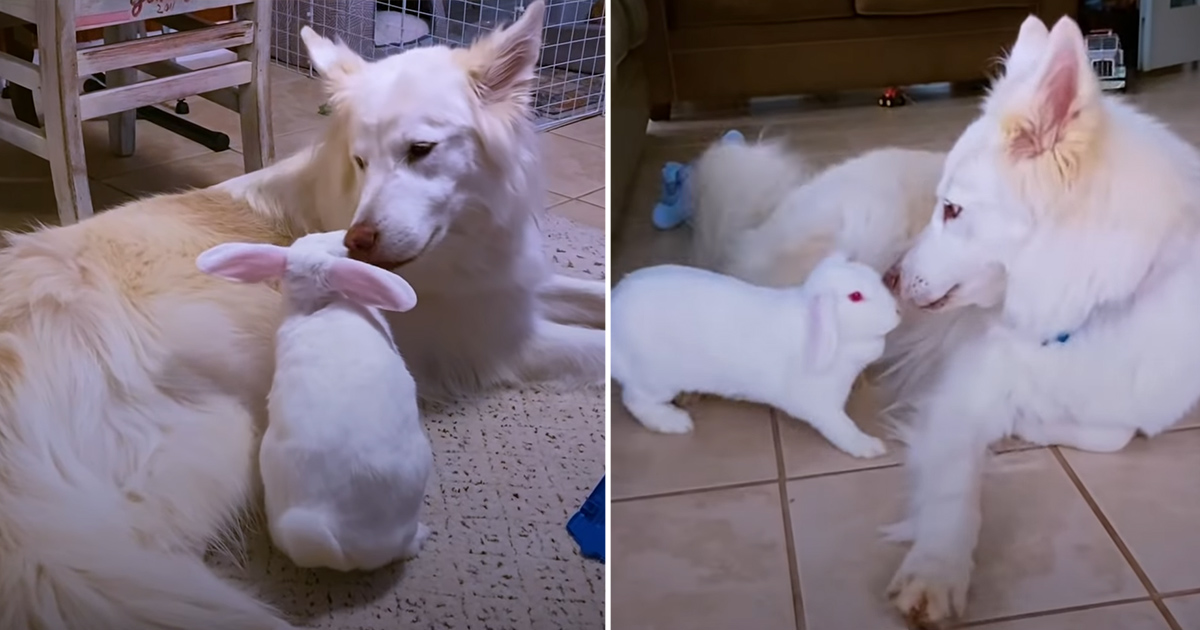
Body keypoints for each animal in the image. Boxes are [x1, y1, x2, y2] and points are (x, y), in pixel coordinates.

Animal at [609, 252, 902, 456]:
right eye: (855, 296)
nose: (898, 313)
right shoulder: (822, 408)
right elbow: (843, 429)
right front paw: (871, 447)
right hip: (656, 380)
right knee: (634, 401)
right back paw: (675, 422)